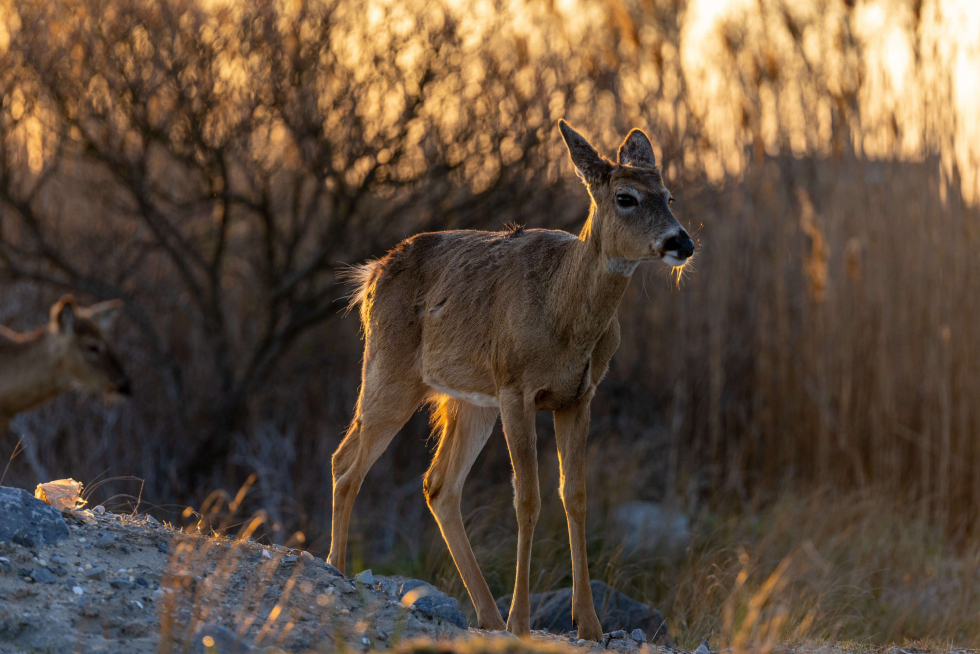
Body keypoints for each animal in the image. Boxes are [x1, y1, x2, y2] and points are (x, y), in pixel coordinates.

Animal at [330, 121, 696, 640]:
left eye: (668, 195)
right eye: (626, 197)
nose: (681, 242)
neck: (564, 315)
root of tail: (370, 275)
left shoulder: (579, 397)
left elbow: (575, 496)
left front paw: (589, 624)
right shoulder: (516, 390)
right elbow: (527, 498)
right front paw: (522, 620)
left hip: (469, 401)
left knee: (437, 483)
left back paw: (486, 614)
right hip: (390, 368)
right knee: (348, 464)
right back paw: (337, 569)